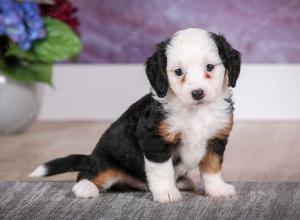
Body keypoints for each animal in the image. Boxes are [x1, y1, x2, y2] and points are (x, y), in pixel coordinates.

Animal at [29, 28, 241, 204]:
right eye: (179, 72)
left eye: (210, 67)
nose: (197, 93)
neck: (195, 112)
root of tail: (91, 157)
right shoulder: (155, 139)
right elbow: (162, 170)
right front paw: (166, 193)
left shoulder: (216, 138)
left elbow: (212, 167)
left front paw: (217, 189)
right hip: (106, 164)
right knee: (86, 174)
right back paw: (85, 188)